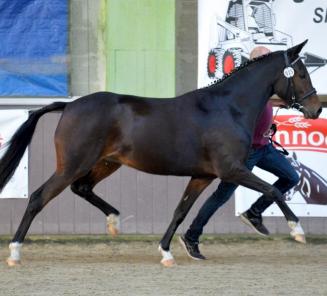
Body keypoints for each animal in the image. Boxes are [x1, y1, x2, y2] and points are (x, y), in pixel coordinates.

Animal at [0, 40, 322, 266]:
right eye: (301, 73)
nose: (316, 108)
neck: (228, 108)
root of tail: (68, 105)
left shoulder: (203, 176)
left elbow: (181, 211)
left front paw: (166, 252)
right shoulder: (232, 170)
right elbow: (273, 190)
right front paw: (297, 230)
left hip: (106, 163)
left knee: (82, 188)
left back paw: (114, 222)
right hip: (73, 164)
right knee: (39, 197)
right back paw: (15, 252)